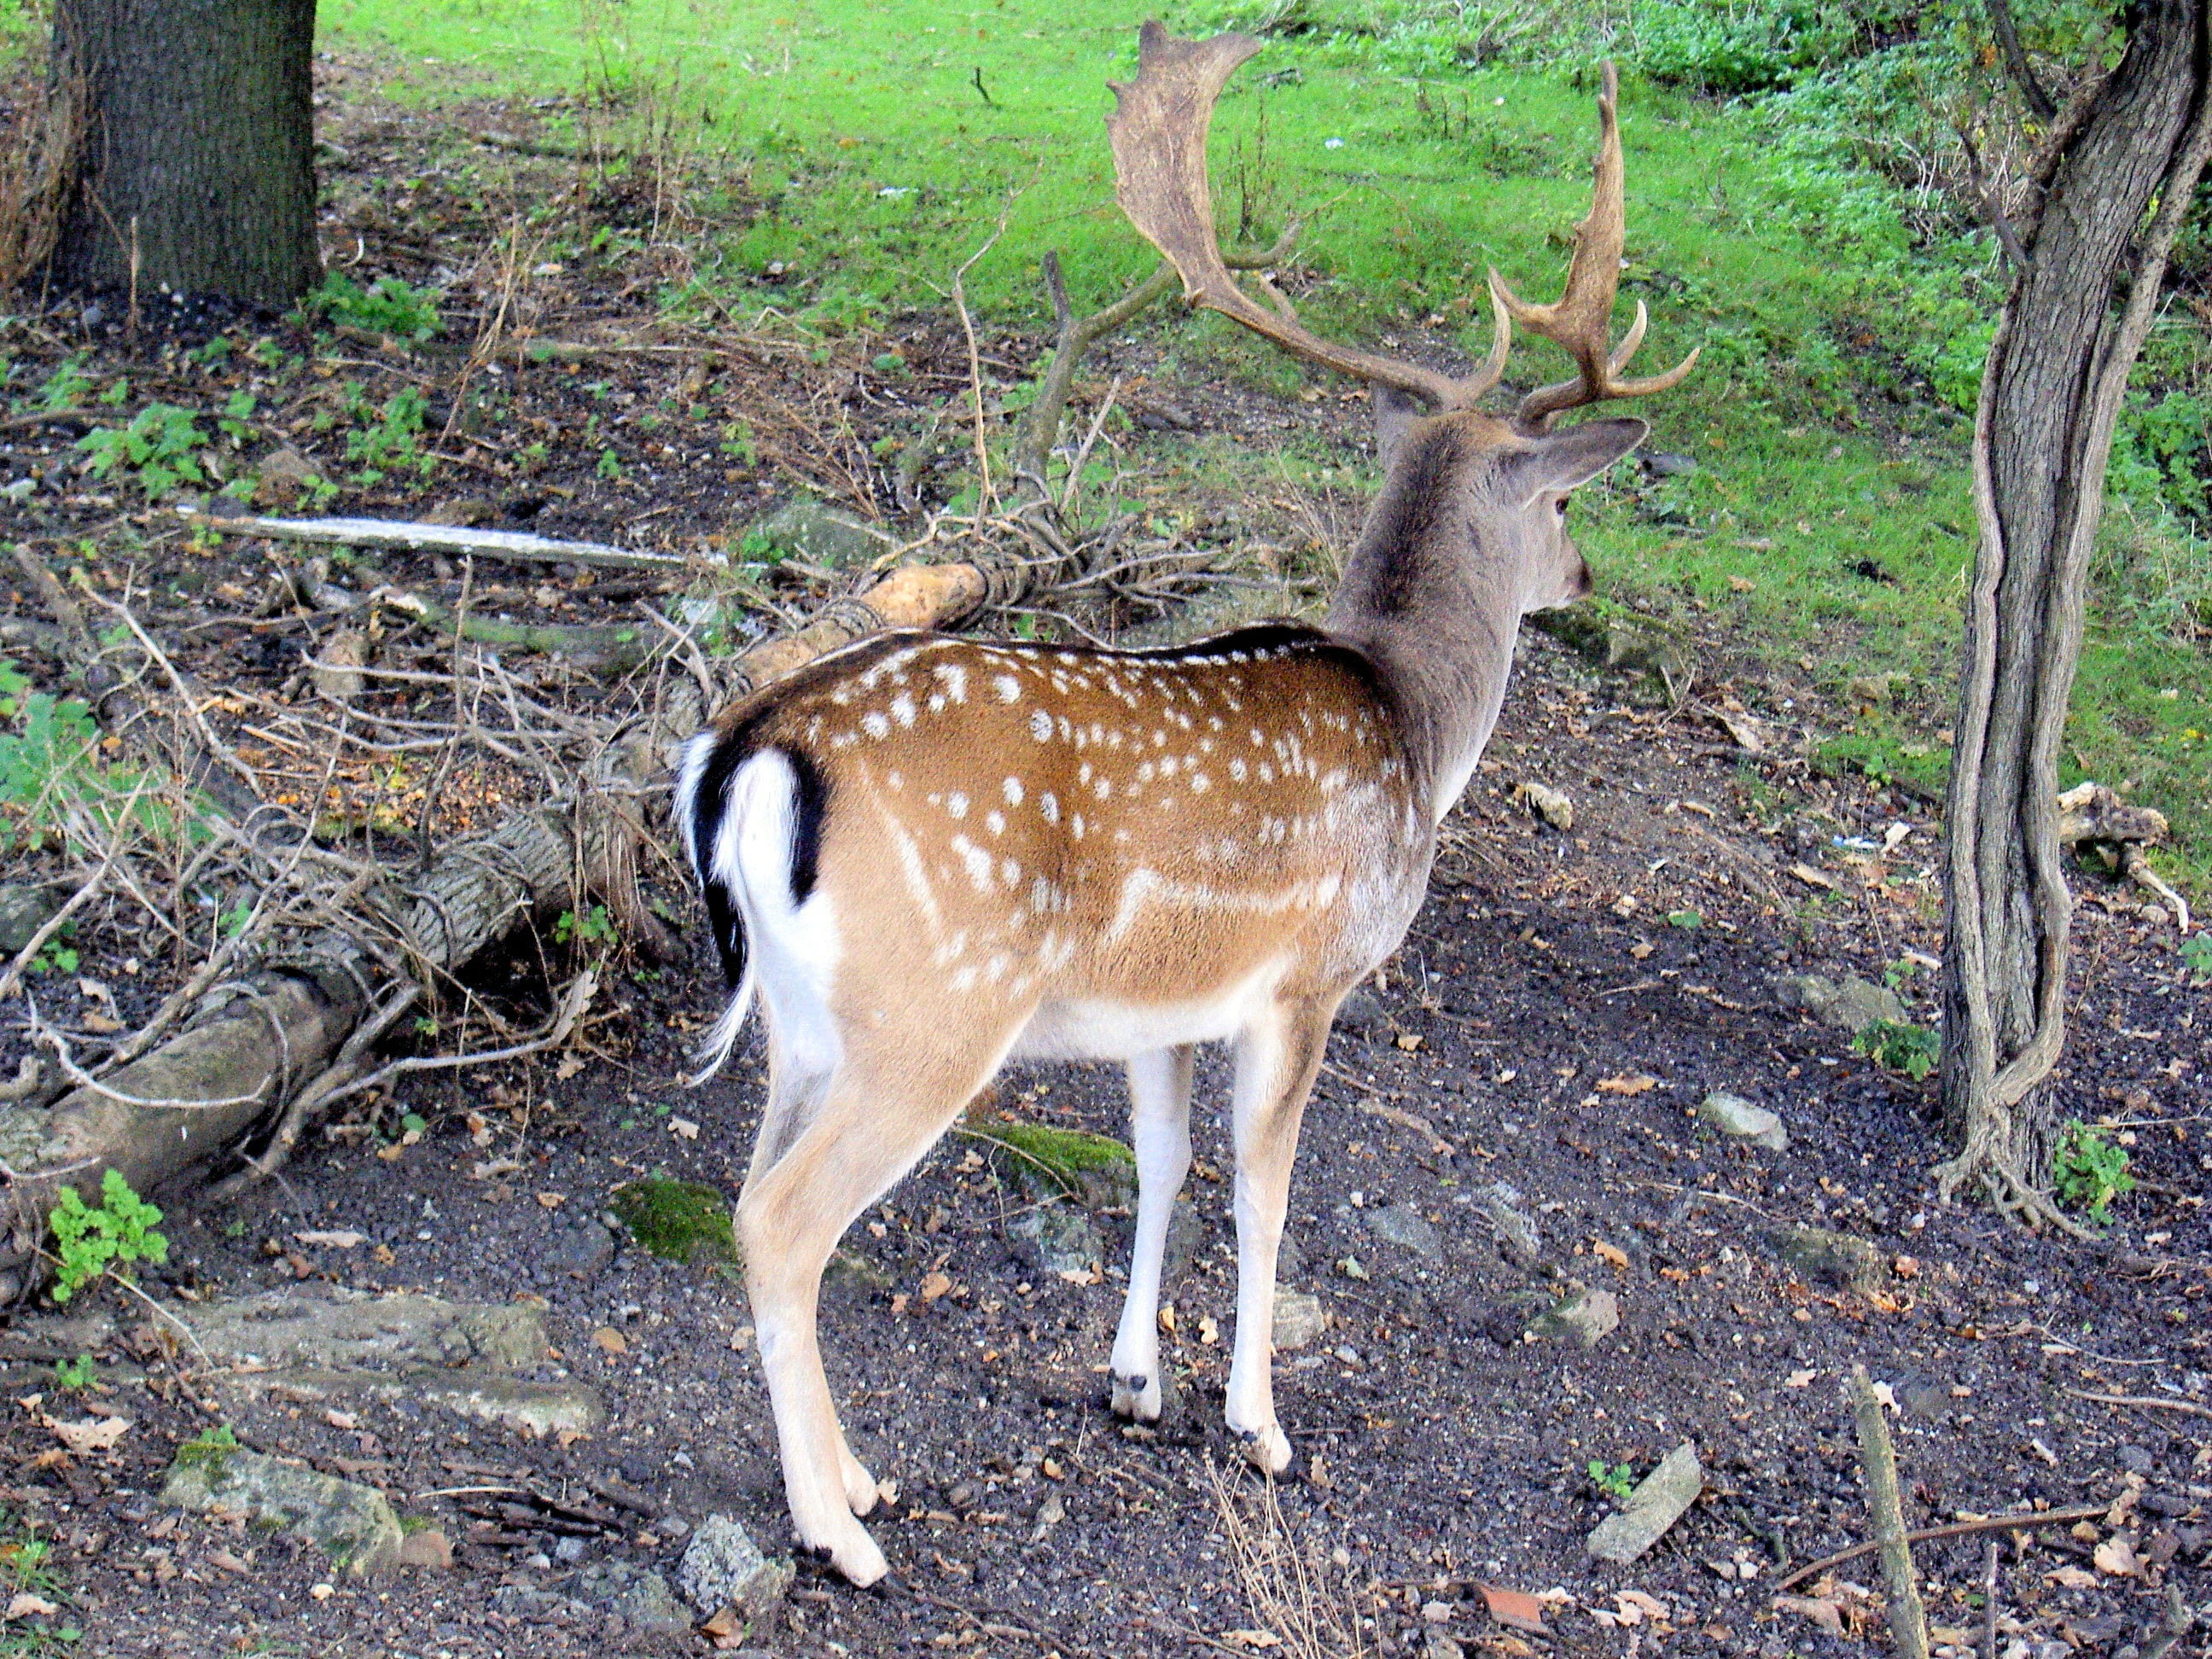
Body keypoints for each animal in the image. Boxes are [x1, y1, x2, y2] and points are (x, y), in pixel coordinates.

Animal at [673, 22, 1696, 1586]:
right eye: (1566, 507)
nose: (1585, 585)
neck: (1414, 721)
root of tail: (751, 756)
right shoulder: (1311, 974)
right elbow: (1264, 1187)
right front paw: (1258, 1424)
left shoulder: (1156, 1003)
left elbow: (1156, 1163)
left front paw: (1134, 1381)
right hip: (935, 1006)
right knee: (787, 1223)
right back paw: (837, 1534)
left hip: (803, 1019)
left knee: (746, 1198)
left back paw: (853, 1478)